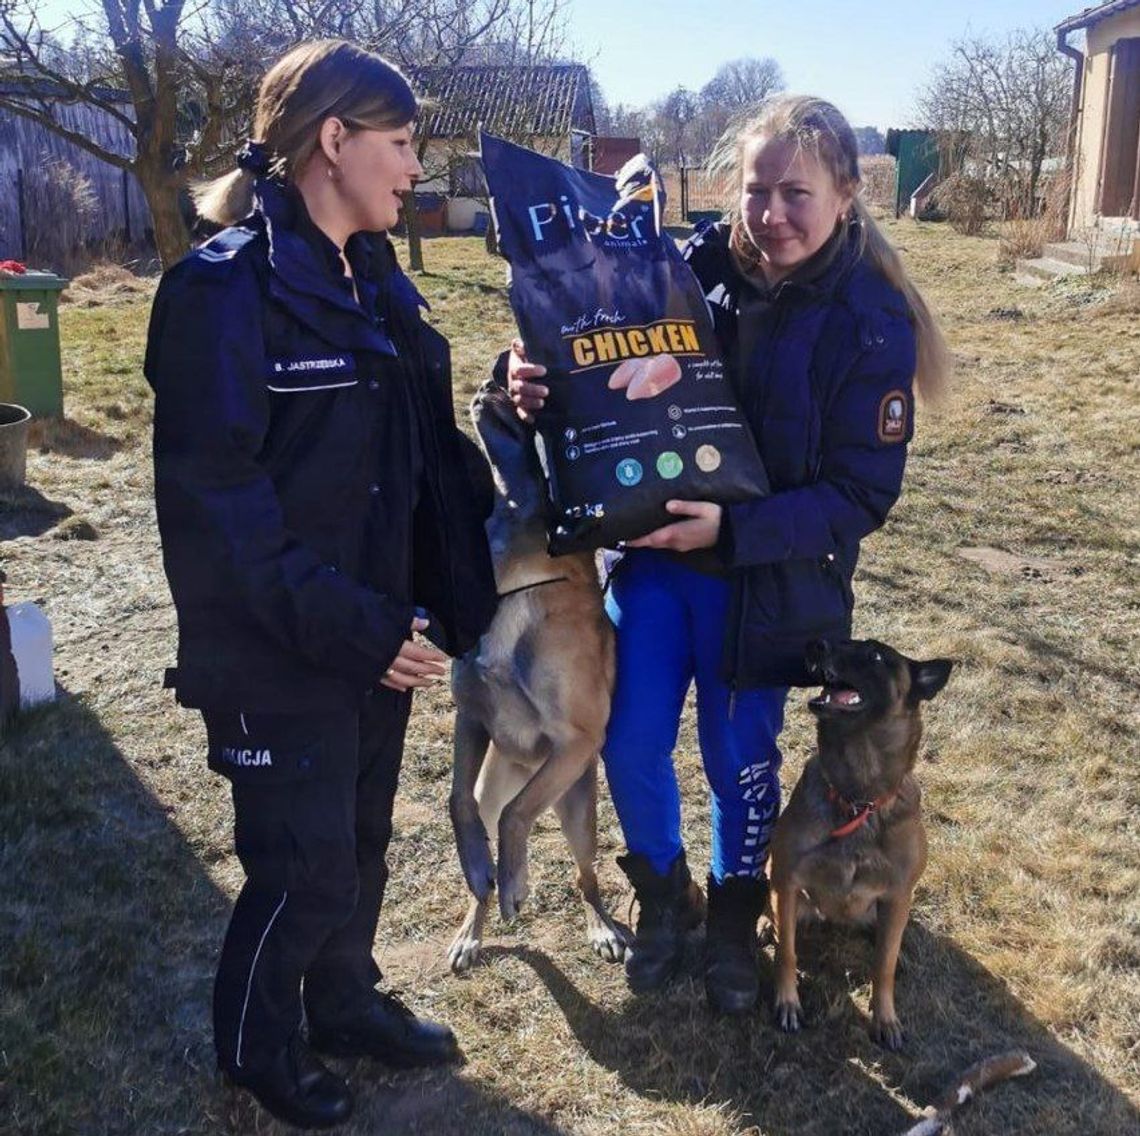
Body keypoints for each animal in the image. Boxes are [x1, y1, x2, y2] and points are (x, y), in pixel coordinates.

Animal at [444, 374, 629, 976]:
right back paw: (471, 928)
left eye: (533, 424)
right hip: (494, 779)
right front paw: (485, 873)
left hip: (576, 808)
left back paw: (602, 928)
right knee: (483, 823)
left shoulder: (576, 743)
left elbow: (518, 815)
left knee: (585, 876)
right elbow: (458, 805)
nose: (490, 380)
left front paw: (515, 883)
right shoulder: (471, 719)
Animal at [766, 638, 953, 1049]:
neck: (857, 798)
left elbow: (883, 966)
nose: (815, 643)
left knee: (888, 942)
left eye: (877, 657)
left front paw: (885, 1018)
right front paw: (787, 1001)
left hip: (888, 910)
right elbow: (786, 952)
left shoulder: (898, 895)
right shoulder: (787, 881)